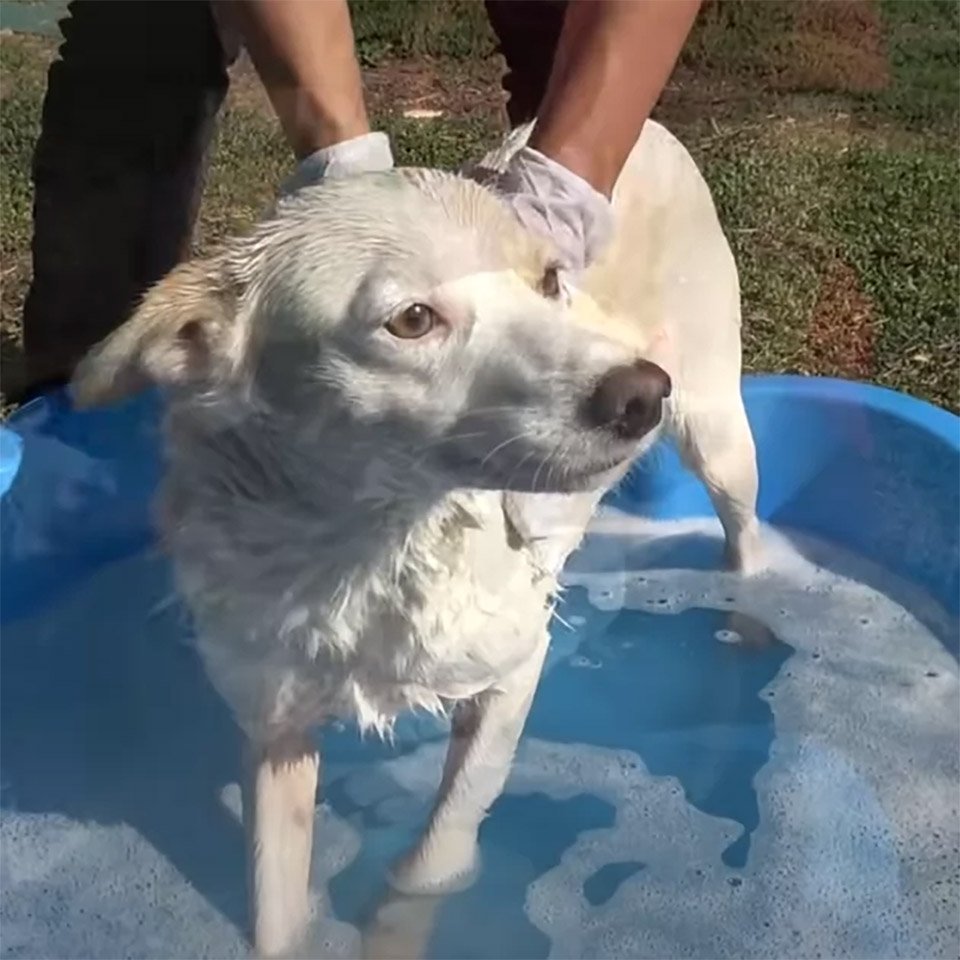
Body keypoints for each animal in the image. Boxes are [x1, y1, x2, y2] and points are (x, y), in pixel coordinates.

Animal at [71, 118, 760, 952]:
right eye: (412, 319)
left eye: (549, 282)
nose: (639, 393)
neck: (364, 549)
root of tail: (657, 129)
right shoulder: (272, 727)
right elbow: (275, 911)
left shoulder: (512, 674)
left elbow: (434, 854)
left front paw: (396, 929)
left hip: (718, 434)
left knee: (747, 540)